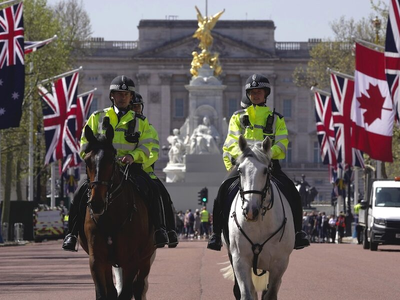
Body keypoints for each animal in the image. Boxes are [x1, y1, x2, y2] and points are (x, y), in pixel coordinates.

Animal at [77, 122, 155, 300]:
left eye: (111, 159)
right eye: (87, 160)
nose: (97, 203)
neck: (109, 218)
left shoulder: (131, 260)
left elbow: (126, 293)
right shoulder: (97, 260)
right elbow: (104, 293)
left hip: (146, 257)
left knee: (139, 287)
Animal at [222, 137, 294, 300]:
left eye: (266, 170)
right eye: (240, 170)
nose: (250, 211)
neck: (260, 223)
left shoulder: (279, 264)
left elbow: (270, 294)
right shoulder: (240, 260)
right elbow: (247, 294)